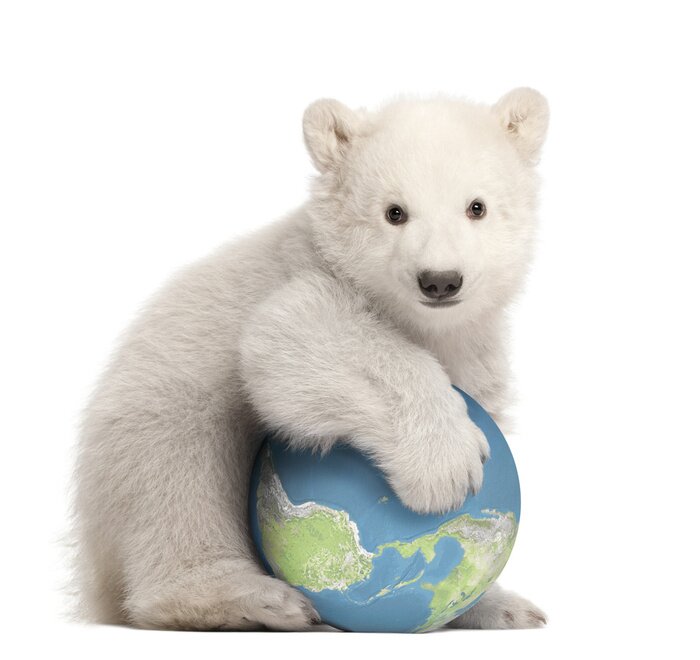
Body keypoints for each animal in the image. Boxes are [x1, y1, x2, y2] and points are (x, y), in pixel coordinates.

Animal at [72, 88, 549, 631]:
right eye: (394, 212)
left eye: (477, 207)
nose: (440, 279)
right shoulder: (295, 275)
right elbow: (292, 336)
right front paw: (446, 466)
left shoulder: (472, 346)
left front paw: (497, 604)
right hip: (152, 411)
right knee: (174, 475)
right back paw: (252, 600)